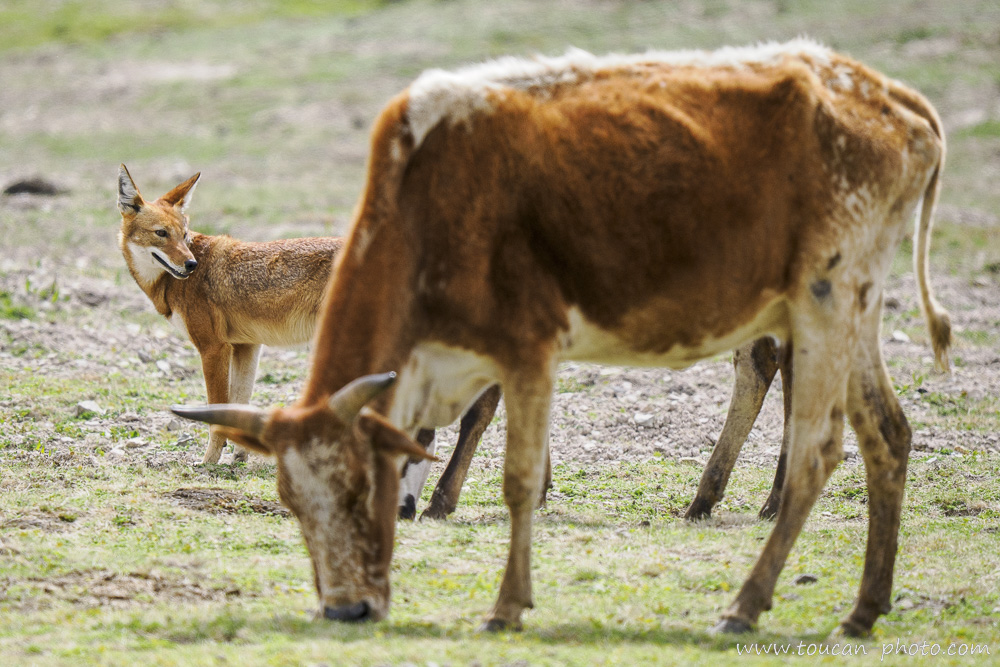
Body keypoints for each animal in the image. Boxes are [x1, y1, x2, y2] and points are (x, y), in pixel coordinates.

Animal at [173, 39, 950, 635]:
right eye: (292, 502)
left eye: (361, 488)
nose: (345, 609)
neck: (428, 200)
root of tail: (894, 99)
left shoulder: (526, 347)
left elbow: (515, 474)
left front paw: (505, 603)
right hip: (845, 310)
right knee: (886, 432)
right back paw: (861, 605)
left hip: (824, 301)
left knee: (815, 437)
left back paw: (745, 597)